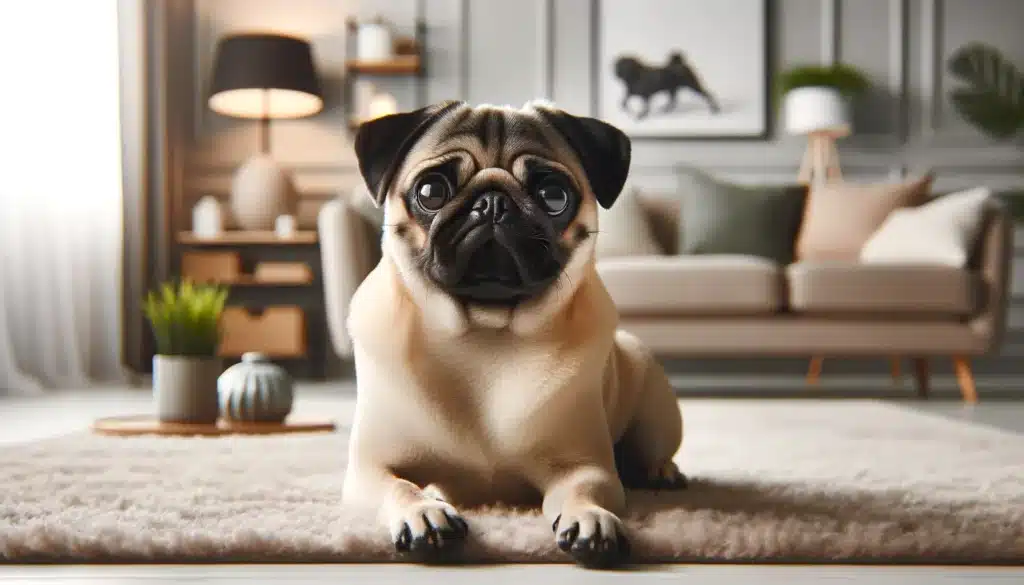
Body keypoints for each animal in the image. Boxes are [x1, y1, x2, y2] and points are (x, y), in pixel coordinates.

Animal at [344, 98, 688, 569]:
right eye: (430, 192)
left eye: (554, 196)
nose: (492, 203)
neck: (485, 333)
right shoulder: (369, 467)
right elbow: (399, 486)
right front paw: (424, 512)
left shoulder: (585, 465)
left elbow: (586, 489)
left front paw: (590, 519)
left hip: (652, 391)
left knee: (653, 446)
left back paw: (660, 470)